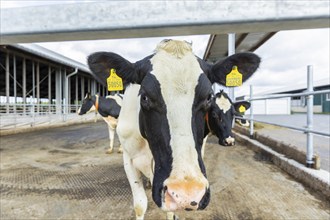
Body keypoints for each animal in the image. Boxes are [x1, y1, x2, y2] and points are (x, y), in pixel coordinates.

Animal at [87, 39, 260, 218]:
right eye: (145, 97)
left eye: (208, 98)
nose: (187, 194)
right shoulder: (129, 159)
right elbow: (140, 205)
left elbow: (169, 212)